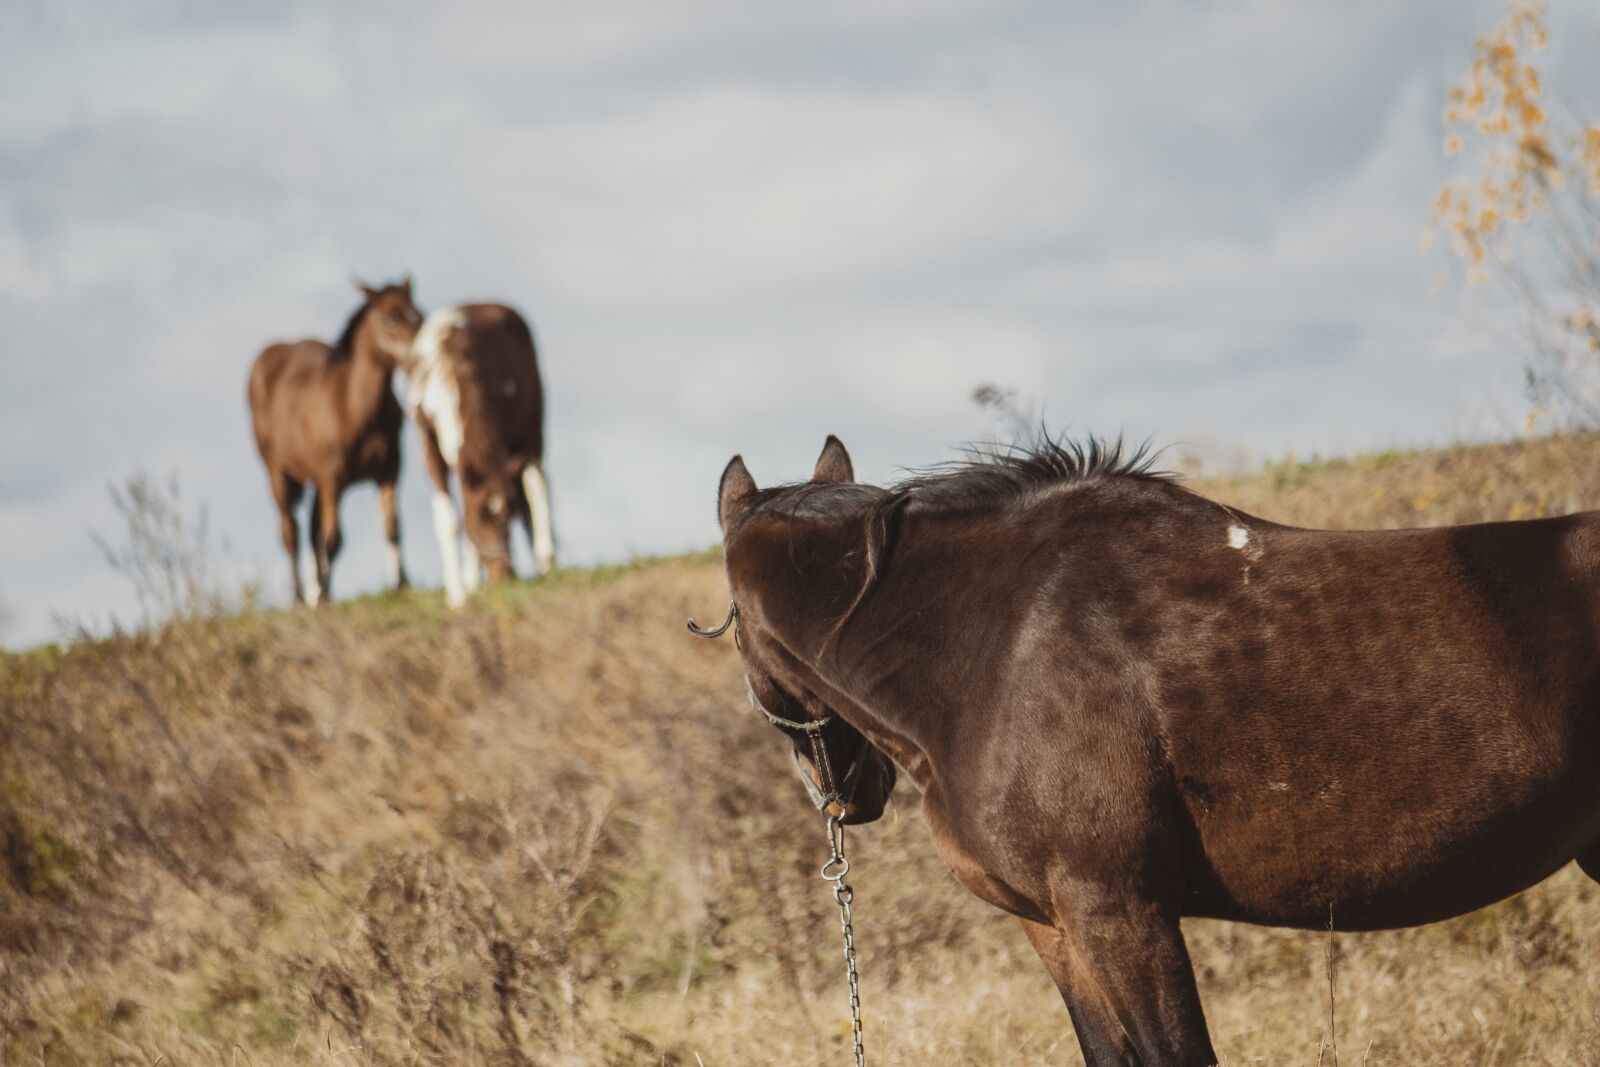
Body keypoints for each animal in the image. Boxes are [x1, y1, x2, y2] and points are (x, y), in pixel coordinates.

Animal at [246, 279, 422, 604]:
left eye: (418, 314)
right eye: (391, 318)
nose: (418, 357)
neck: (356, 411)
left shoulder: (389, 470)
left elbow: (392, 528)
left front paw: (402, 585)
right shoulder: (332, 478)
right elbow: (332, 540)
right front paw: (324, 596)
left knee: (311, 531)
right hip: (278, 471)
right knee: (290, 532)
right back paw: (300, 598)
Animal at [406, 303, 556, 604]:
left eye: (508, 516)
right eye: (478, 518)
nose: (505, 575)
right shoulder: (429, 444)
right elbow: (450, 518)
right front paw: (459, 593)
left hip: (532, 425)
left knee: (536, 485)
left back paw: (545, 560)